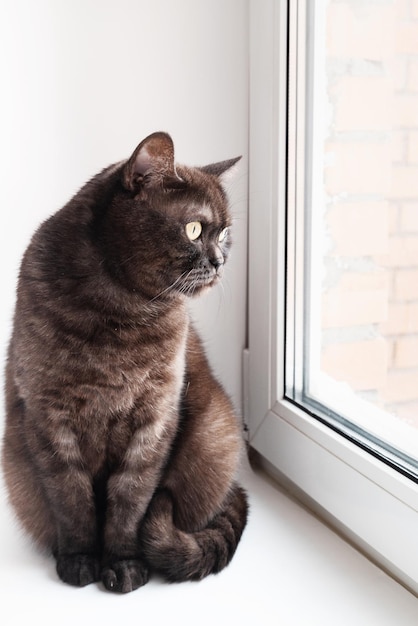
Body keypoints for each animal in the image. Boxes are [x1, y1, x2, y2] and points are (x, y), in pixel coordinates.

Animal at [0, 132, 248, 588]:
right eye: (194, 229)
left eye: (225, 234)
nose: (221, 261)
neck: (122, 313)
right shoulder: (49, 417)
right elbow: (72, 498)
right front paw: (80, 561)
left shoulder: (154, 420)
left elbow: (131, 498)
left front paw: (122, 565)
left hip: (215, 436)